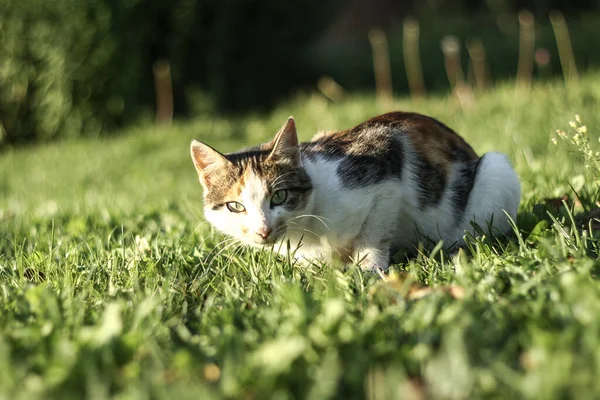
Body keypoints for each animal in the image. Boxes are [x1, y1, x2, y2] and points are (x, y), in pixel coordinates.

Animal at [191, 111, 520, 270]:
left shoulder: (385, 159)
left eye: (279, 196)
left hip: (495, 169)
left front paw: (368, 269)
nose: (263, 230)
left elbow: (375, 230)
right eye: (235, 206)